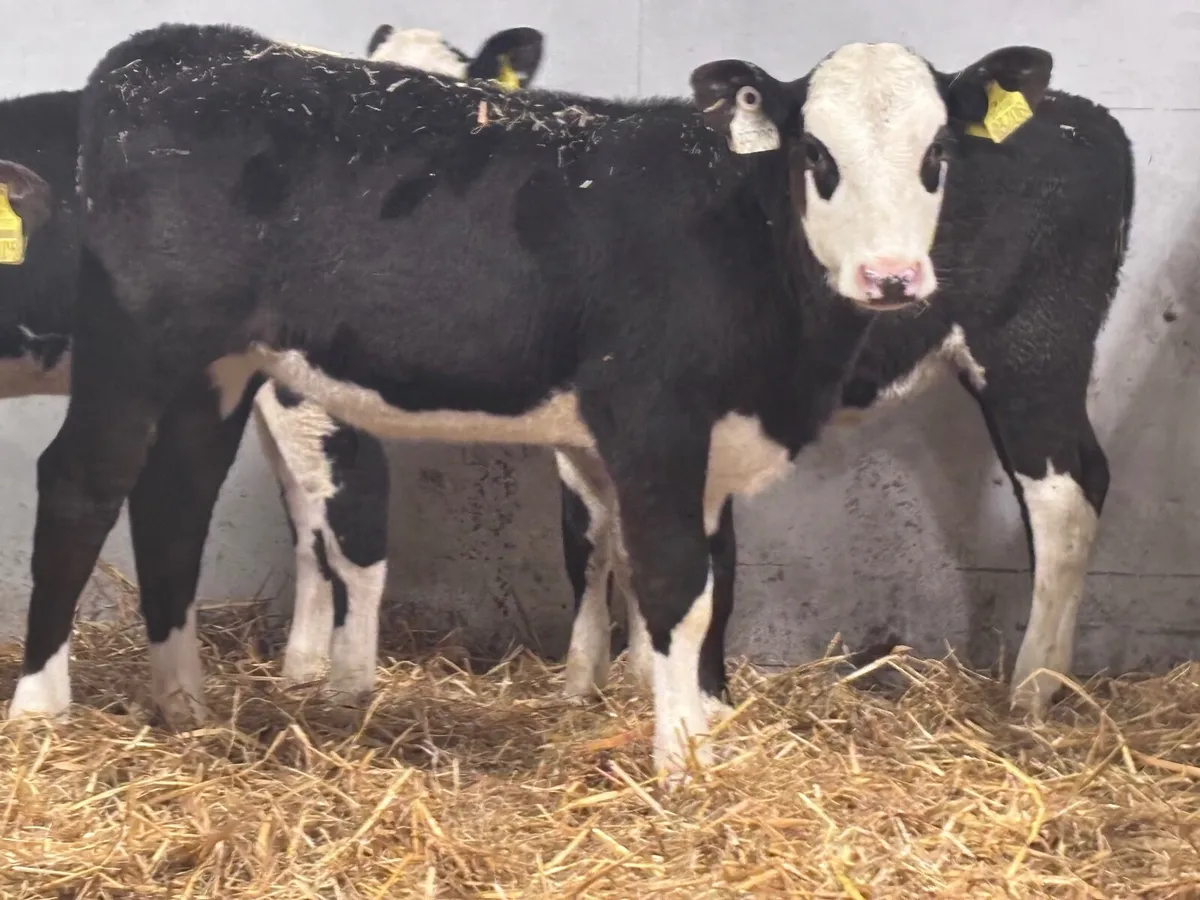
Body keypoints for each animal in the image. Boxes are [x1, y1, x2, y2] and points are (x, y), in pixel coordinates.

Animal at [560, 48, 1135, 719]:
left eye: (937, 149)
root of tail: (1085, 117)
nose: (887, 274)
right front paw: (595, 680)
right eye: (814, 151)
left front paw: (700, 699)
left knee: (1062, 500)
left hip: (1033, 351)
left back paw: (1032, 688)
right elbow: (596, 539)